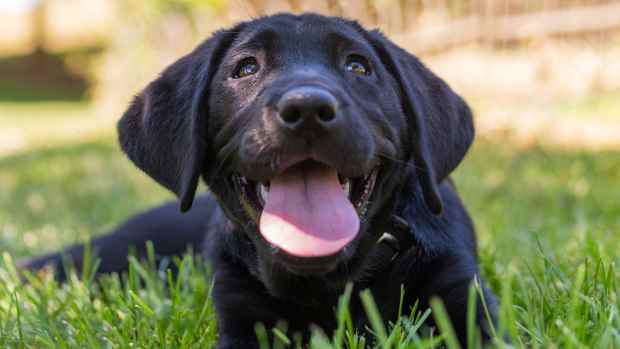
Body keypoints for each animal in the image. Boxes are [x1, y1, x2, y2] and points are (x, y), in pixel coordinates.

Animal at [25, 12, 498, 346]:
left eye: (359, 67)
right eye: (246, 68)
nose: (307, 109)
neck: (329, 285)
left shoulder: (466, 300)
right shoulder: (240, 317)